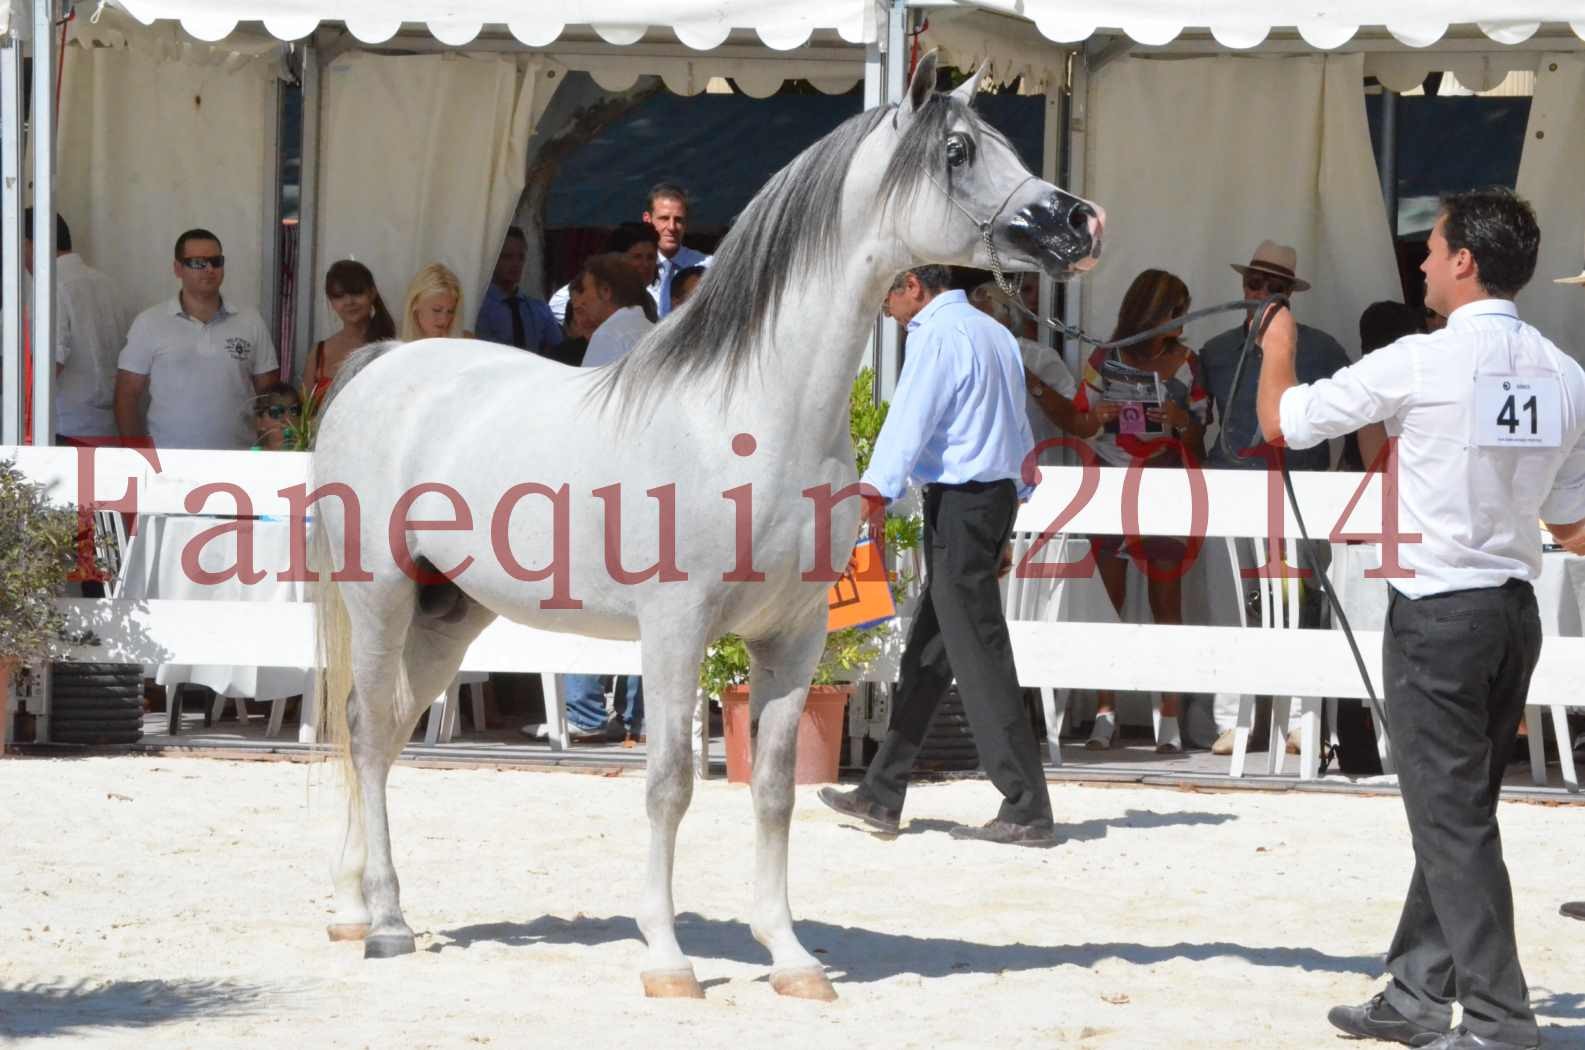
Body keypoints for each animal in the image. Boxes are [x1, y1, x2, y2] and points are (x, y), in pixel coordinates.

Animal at [309, 55, 1103, 1002]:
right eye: (956, 150)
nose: (1077, 221)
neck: (749, 412)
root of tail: (383, 362)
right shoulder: (675, 629)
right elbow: (668, 784)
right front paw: (666, 957)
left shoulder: (794, 637)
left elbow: (773, 790)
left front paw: (790, 957)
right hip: (382, 595)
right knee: (364, 732)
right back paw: (386, 922)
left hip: (450, 615)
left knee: (387, 729)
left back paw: (352, 908)